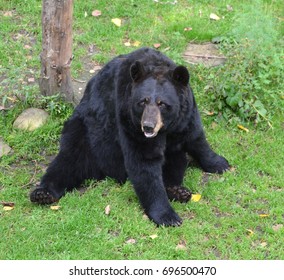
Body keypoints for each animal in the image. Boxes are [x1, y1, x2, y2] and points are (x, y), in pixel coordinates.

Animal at [30, 48, 229, 226]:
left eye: (162, 103)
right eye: (143, 101)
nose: (148, 126)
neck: (166, 128)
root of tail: (102, 171)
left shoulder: (185, 115)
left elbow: (196, 137)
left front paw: (220, 163)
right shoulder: (128, 118)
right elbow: (144, 162)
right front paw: (168, 216)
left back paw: (178, 190)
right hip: (83, 132)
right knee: (68, 161)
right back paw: (42, 193)